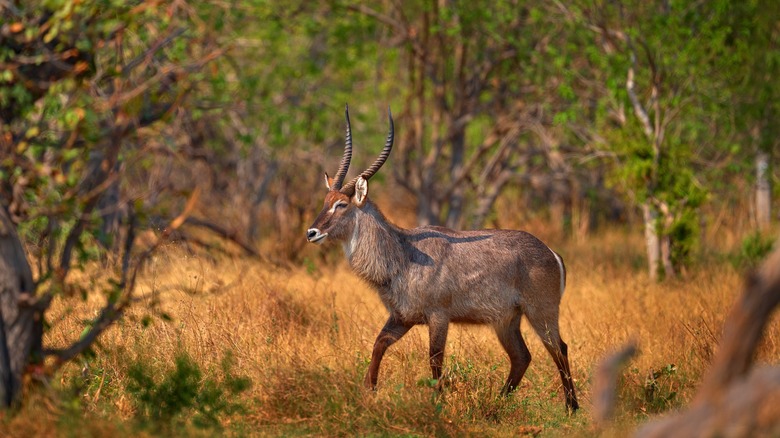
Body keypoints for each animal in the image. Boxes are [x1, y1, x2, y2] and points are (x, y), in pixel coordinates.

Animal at [304, 105, 580, 410]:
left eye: (341, 204)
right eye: (325, 202)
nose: (311, 232)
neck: (403, 253)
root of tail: (551, 252)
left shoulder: (438, 316)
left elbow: (434, 360)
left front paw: (437, 404)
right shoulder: (402, 316)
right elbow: (378, 344)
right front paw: (369, 390)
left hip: (541, 310)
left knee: (558, 348)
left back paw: (571, 407)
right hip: (507, 320)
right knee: (522, 356)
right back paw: (497, 403)